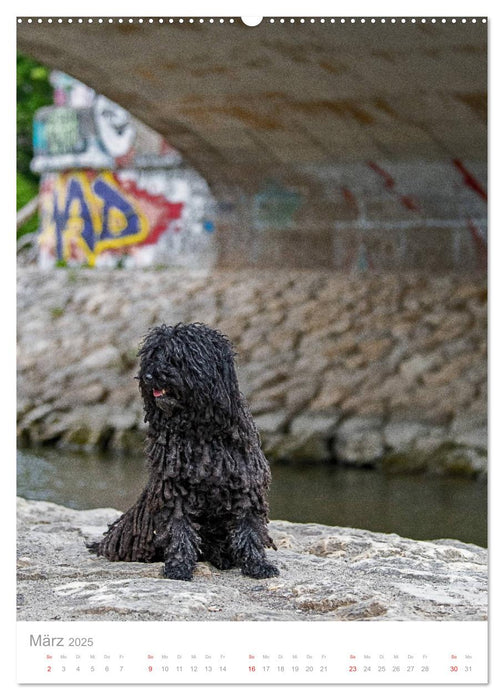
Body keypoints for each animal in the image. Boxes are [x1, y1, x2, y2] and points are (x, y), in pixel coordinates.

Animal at [91, 322, 280, 580]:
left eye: (175, 357)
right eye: (152, 355)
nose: (148, 375)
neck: (199, 430)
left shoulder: (246, 483)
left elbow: (248, 527)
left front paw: (258, 564)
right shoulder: (173, 489)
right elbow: (179, 529)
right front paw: (179, 567)